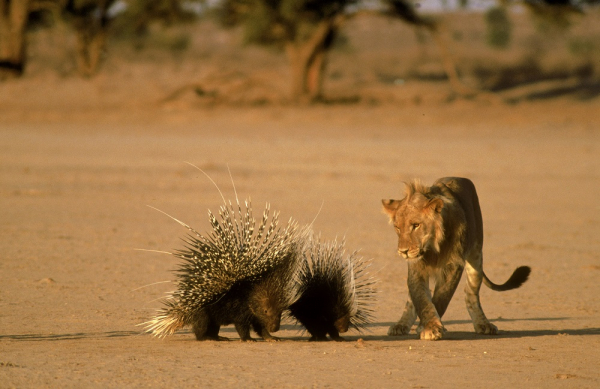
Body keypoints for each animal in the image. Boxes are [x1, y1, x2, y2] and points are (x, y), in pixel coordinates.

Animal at [384, 177, 528, 340]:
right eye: (397, 228)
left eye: (416, 225)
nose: (403, 251)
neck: (432, 248)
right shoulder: (417, 268)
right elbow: (421, 299)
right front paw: (430, 327)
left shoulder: (453, 265)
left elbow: (442, 298)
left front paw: (427, 328)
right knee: (411, 299)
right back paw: (400, 326)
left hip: (476, 255)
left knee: (470, 295)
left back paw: (484, 324)